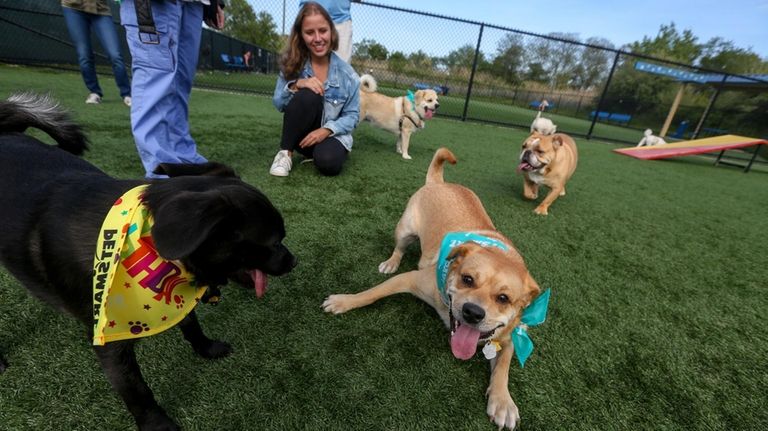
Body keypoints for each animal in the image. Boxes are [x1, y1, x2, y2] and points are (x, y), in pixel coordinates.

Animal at [0, 95, 296, 431]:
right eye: (274, 242)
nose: (294, 260)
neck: (144, 246)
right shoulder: (108, 341)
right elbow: (136, 389)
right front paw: (157, 424)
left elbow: (190, 322)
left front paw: (205, 347)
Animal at [320, 148, 548, 428]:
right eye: (467, 279)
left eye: (504, 298)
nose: (473, 312)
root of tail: (440, 182)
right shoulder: (410, 279)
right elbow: (370, 294)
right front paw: (344, 301)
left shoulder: (508, 336)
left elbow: (503, 366)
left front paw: (503, 400)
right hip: (404, 230)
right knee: (399, 247)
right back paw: (391, 261)